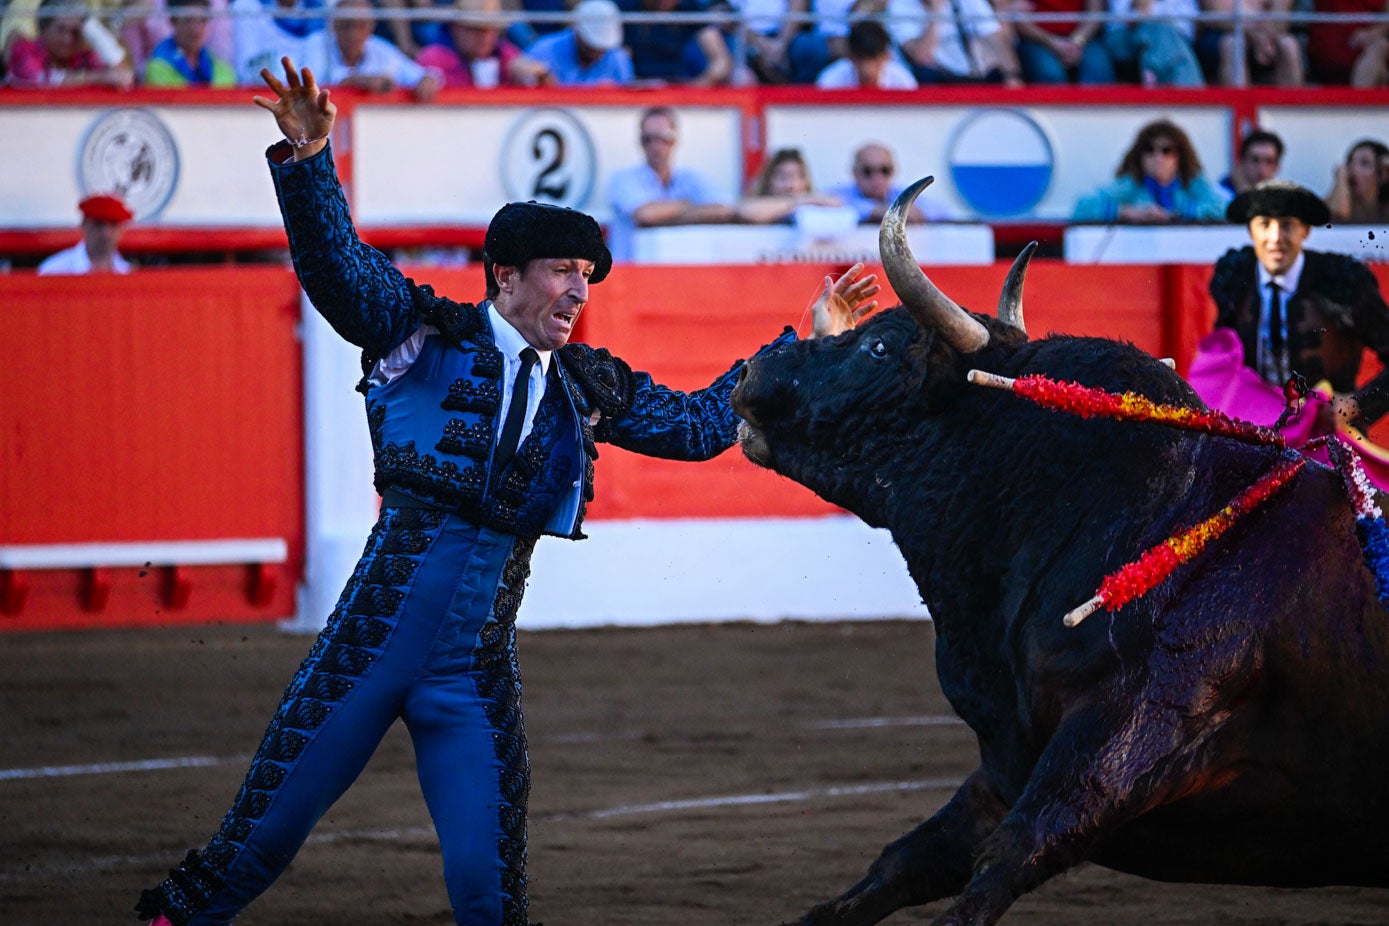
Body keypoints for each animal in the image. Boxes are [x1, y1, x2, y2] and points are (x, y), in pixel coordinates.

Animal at [733, 179, 1389, 926]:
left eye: (876, 347)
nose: (755, 367)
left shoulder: (1125, 734)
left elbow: (1012, 854)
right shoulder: (1006, 760)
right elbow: (902, 861)